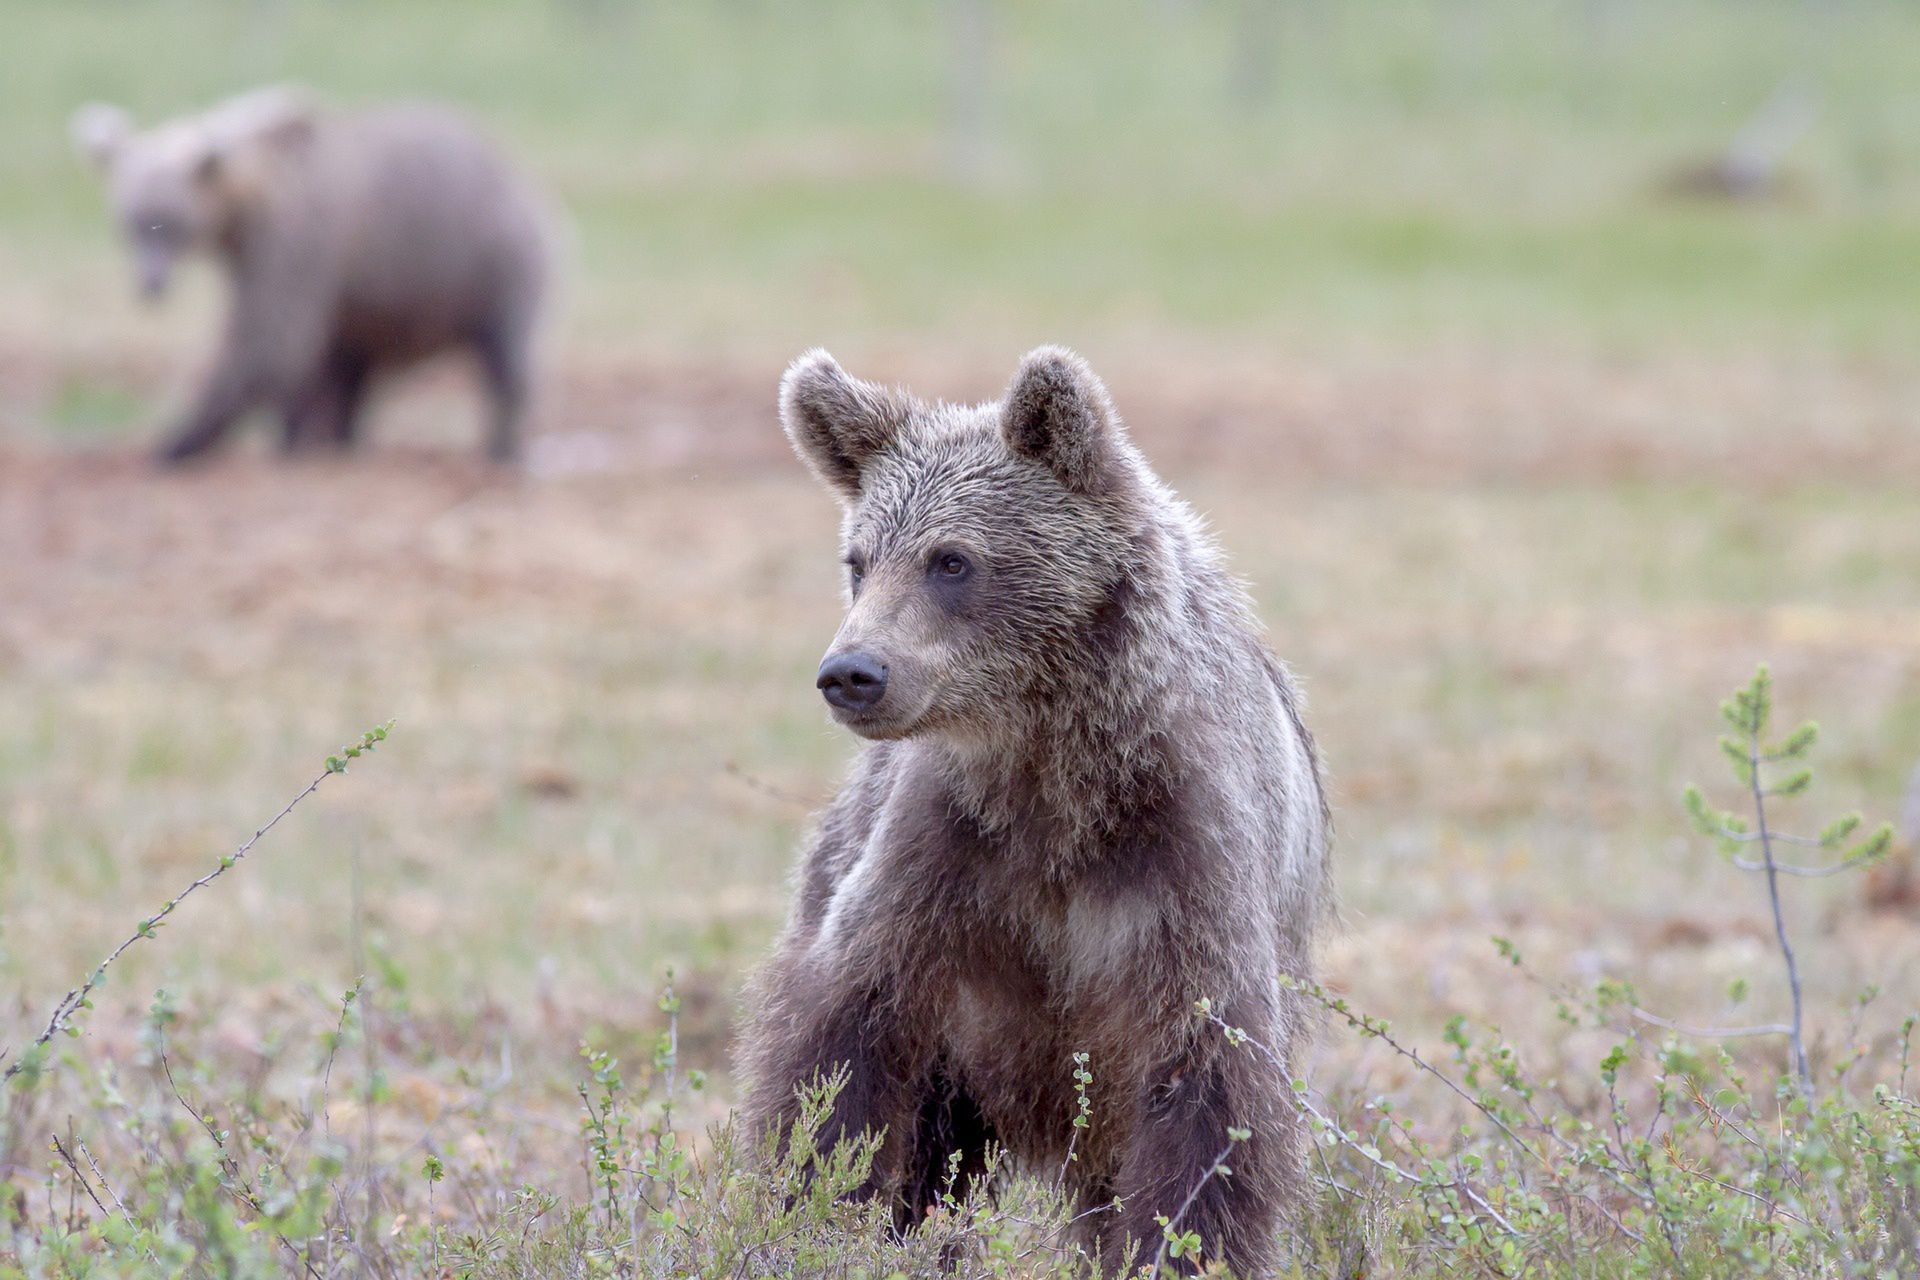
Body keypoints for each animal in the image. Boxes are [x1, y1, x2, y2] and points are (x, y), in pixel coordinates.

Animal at [71, 91, 552, 470]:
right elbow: (301, 359)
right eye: (131, 223)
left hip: (493, 264)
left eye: (170, 223)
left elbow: (268, 341)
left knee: (505, 356)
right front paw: (291, 438)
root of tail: (523, 177)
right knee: (354, 366)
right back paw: (343, 439)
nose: (150, 285)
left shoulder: (293, 243)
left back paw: (501, 449)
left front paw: (176, 444)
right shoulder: (294, 265)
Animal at [737, 345, 1336, 1274]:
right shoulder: (944, 858)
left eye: (951, 559)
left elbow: (1207, 1092)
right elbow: (841, 1052)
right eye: (858, 559)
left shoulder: (1183, 859)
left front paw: (1175, 1246)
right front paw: (816, 1212)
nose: (853, 672)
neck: (1055, 771)